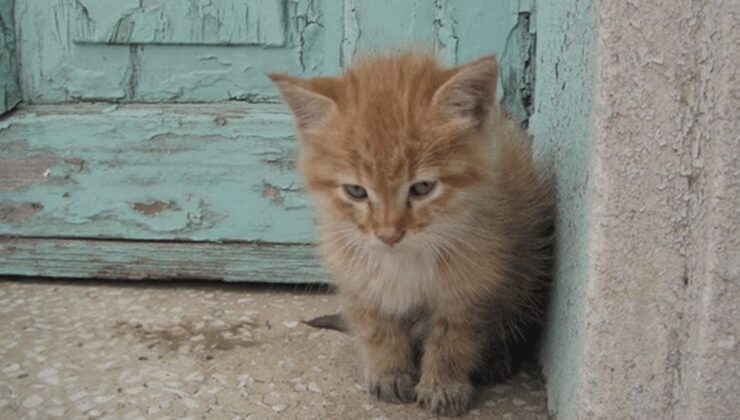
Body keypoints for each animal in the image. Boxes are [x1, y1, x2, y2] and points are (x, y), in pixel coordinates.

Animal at [268, 53, 552, 416]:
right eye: (356, 191)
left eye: (421, 188)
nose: (388, 234)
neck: (404, 259)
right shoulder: (357, 278)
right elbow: (377, 329)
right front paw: (389, 373)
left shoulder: (470, 287)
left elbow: (453, 338)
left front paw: (443, 385)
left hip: (528, 265)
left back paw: (496, 357)